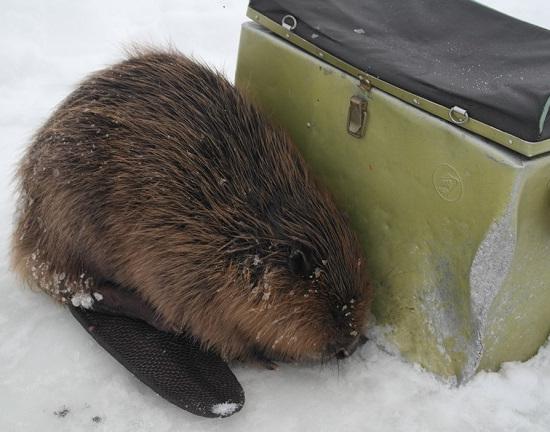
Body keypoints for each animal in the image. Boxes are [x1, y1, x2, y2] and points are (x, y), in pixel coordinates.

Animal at [10, 47, 374, 364]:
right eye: (335, 311)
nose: (351, 342)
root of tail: (26, 234)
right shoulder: (176, 261)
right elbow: (203, 322)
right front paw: (260, 356)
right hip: (69, 220)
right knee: (77, 288)